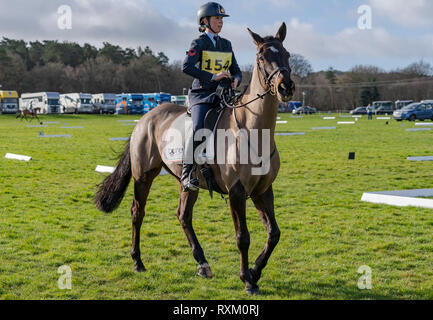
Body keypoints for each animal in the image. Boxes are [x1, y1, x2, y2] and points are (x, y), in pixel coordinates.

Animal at [95, 22, 294, 294]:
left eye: (287, 54)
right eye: (261, 57)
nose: (286, 87)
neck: (253, 131)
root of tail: (145, 118)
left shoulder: (262, 190)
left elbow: (274, 234)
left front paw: (255, 271)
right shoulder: (237, 192)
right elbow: (243, 237)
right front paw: (247, 279)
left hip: (188, 183)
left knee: (183, 216)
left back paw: (202, 264)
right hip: (143, 176)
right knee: (137, 212)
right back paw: (138, 262)